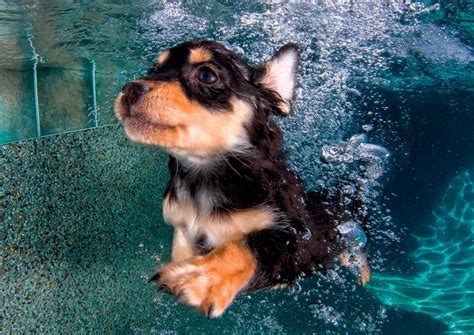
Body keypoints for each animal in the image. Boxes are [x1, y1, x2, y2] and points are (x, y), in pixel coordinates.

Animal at [115, 40, 370, 318]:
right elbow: (182, 249)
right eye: (154, 69)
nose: (130, 89)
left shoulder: (295, 241)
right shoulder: (182, 226)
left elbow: (243, 247)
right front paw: (191, 267)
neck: (203, 178)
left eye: (207, 75)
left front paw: (201, 277)